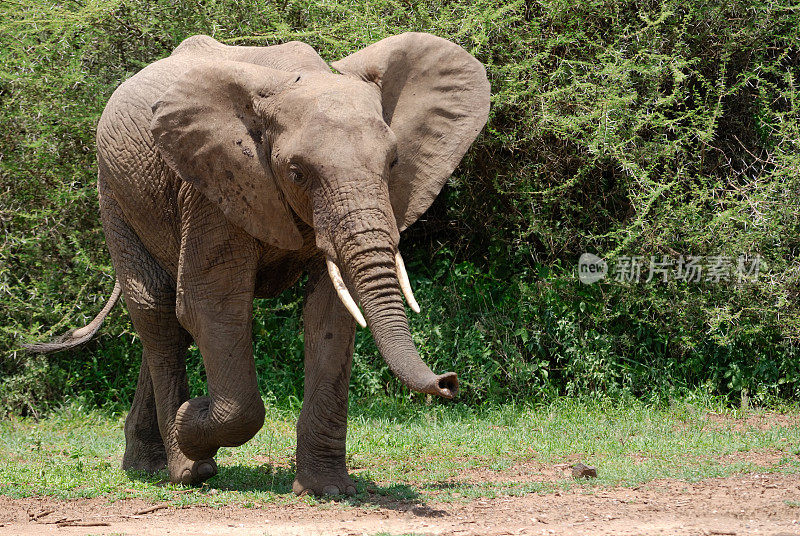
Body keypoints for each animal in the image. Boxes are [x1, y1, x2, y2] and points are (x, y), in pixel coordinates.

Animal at [26, 32, 488, 494]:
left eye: (393, 163)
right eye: (297, 172)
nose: (449, 382)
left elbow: (330, 316)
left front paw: (327, 490)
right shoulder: (213, 187)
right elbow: (211, 306)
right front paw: (192, 419)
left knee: (163, 322)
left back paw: (147, 464)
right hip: (114, 193)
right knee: (155, 308)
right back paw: (184, 470)